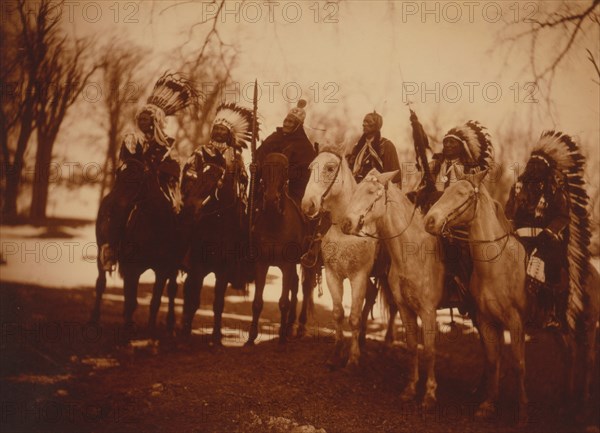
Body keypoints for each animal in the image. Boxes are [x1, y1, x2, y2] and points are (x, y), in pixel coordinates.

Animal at [90, 159, 182, 334]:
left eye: (137, 181)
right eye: (118, 178)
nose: (110, 209)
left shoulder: (162, 270)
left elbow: (155, 301)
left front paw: (150, 329)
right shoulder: (133, 268)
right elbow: (131, 300)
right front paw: (128, 326)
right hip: (102, 255)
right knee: (101, 284)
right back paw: (94, 319)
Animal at [180, 152, 251, 344]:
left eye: (213, 176)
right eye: (198, 174)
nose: (190, 206)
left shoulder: (223, 271)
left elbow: (218, 303)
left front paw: (217, 337)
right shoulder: (198, 267)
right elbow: (194, 300)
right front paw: (185, 332)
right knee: (188, 293)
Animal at [245, 152, 316, 344]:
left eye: (284, 170)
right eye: (264, 168)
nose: (270, 200)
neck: (275, 223)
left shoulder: (287, 265)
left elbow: (284, 301)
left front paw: (282, 338)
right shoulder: (261, 264)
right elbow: (257, 302)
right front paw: (251, 337)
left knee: (306, 287)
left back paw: (301, 327)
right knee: (296, 284)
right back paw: (290, 325)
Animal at [298, 147, 394, 370]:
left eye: (330, 168)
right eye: (310, 168)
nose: (307, 205)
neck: (345, 231)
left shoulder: (358, 276)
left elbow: (354, 318)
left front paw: (353, 358)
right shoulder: (333, 275)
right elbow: (338, 313)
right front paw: (336, 354)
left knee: (393, 307)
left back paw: (385, 345)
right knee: (371, 297)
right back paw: (364, 339)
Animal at [424, 170, 596, 420]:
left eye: (462, 193)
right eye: (446, 191)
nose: (430, 221)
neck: (496, 265)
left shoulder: (516, 323)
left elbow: (518, 364)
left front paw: (522, 411)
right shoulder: (486, 321)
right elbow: (493, 360)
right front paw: (488, 404)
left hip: (589, 325)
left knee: (588, 358)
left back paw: (583, 401)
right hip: (559, 328)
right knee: (570, 354)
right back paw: (566, 400)